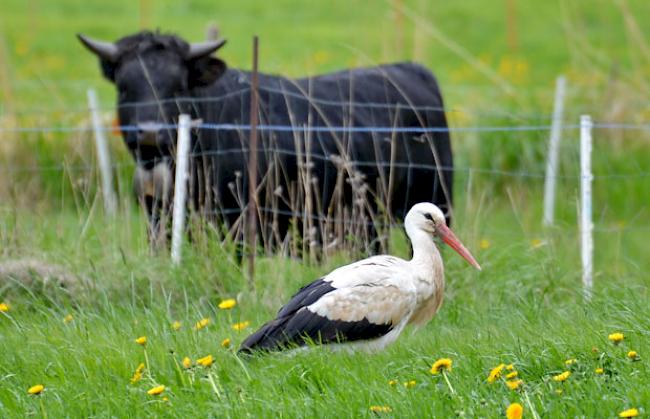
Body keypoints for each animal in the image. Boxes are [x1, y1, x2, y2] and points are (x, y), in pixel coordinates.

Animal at [78, 31, 454, 254]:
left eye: (177, 87)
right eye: (124, 87)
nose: (149, 132)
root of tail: (410, 69)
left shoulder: (240, 223)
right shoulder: (160, 220)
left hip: (436, 198)